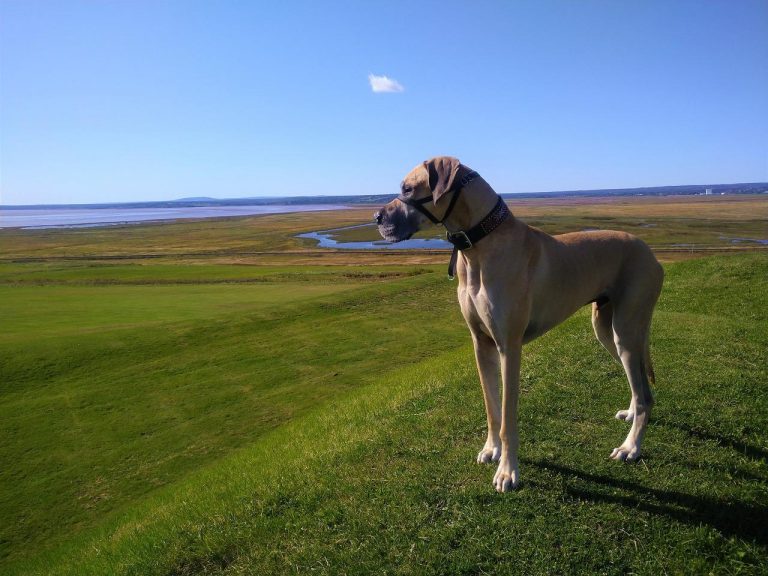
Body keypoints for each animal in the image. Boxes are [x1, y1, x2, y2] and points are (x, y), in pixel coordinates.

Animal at [376, 156, 664, 490]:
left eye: (408, 188)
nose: (376, 216)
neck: (479, 247)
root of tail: (650, 252)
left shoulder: (509, 347)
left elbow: (508, 417)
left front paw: (507, 470)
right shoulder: (481, 344)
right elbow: (491, 408)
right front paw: (491, 450)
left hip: (626, 330)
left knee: (645, 395)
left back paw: (631, 446)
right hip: (605, 328)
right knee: (638, 384)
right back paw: (630, 414)